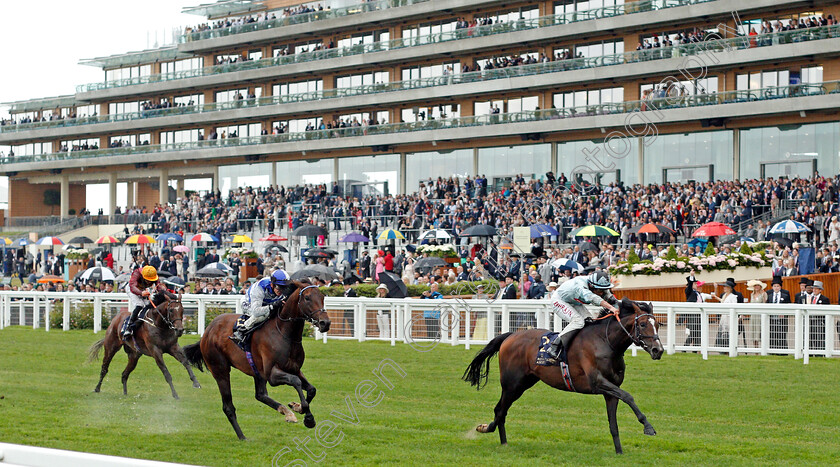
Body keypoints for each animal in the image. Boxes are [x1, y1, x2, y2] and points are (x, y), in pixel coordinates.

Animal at [184, 282, 332, 442]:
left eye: (323, 297)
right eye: (307, 298)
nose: (325, 323)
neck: (284, 333)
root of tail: (207, 332)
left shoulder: (294, 368)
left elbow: (311, 389)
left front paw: (297, 407)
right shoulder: (272, 375)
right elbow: (295, 381)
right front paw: (308, 417)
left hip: (256, 371)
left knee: (260, 395)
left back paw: (286, 412)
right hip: (220, 370)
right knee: (228, 406)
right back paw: (242, 436)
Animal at [466, 298, 664, 456]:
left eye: (657, 325)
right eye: (643, 324)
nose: (658, 350)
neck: (606, 342)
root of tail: (511, 335)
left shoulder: (610, 391)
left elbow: (614, 424)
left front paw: (619, 452)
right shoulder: (597, 382)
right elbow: (629, 396)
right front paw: (648, 427)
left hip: (524, 383)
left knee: (502, 410)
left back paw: (502, 440)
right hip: (511, 384)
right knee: (500, 410)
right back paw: (488, 430)